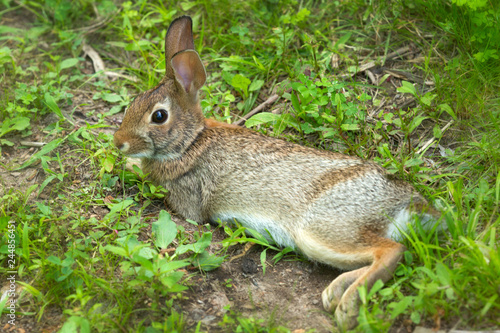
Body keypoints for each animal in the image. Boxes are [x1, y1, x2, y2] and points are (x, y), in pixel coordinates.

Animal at [112, 16, 438, 330]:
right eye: (133, 102)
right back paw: (334, 293)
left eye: (159, 116)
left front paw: (130, 166)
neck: (191, 141)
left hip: (322, 229)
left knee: (392, 251)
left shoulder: (188, 199)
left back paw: (347, 307)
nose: (119, 142)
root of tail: (408, 203)